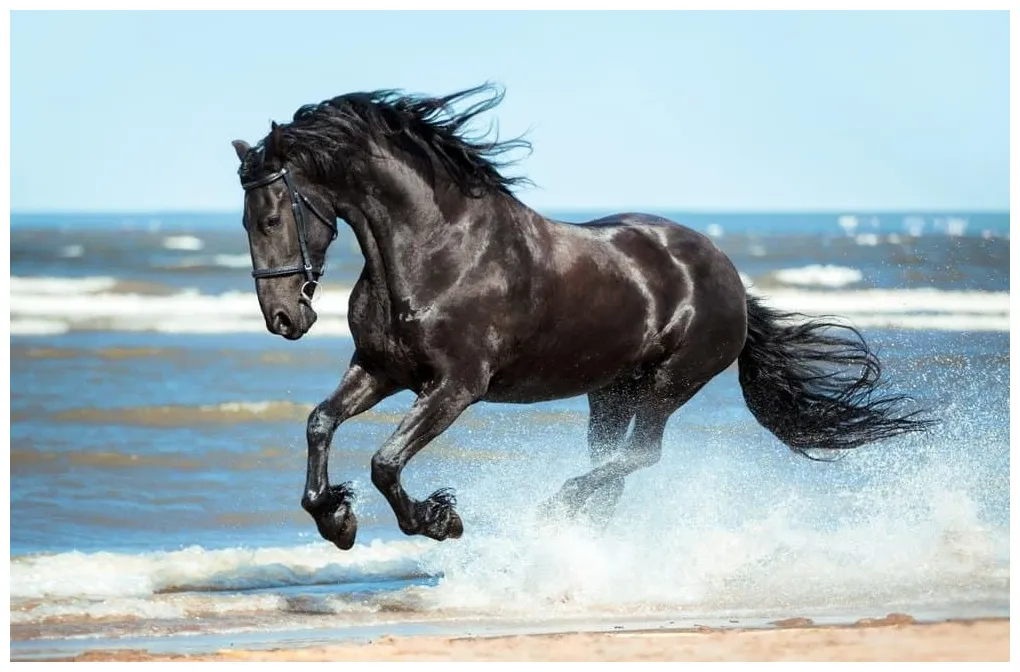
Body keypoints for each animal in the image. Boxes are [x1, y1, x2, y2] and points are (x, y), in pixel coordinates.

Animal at [230, 84, 931, 551]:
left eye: (272, 216)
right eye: (244, 221)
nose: (284, 318)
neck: (436, 250)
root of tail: (728, 274)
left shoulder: (456, 387)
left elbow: (386, 461)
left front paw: (438, 519)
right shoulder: (380, 369)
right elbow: (321, 423)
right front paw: (335, 518)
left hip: (668, 384)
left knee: (639, 457)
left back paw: (558, 508)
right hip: (610, 392)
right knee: (615, 465)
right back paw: (577, 530)